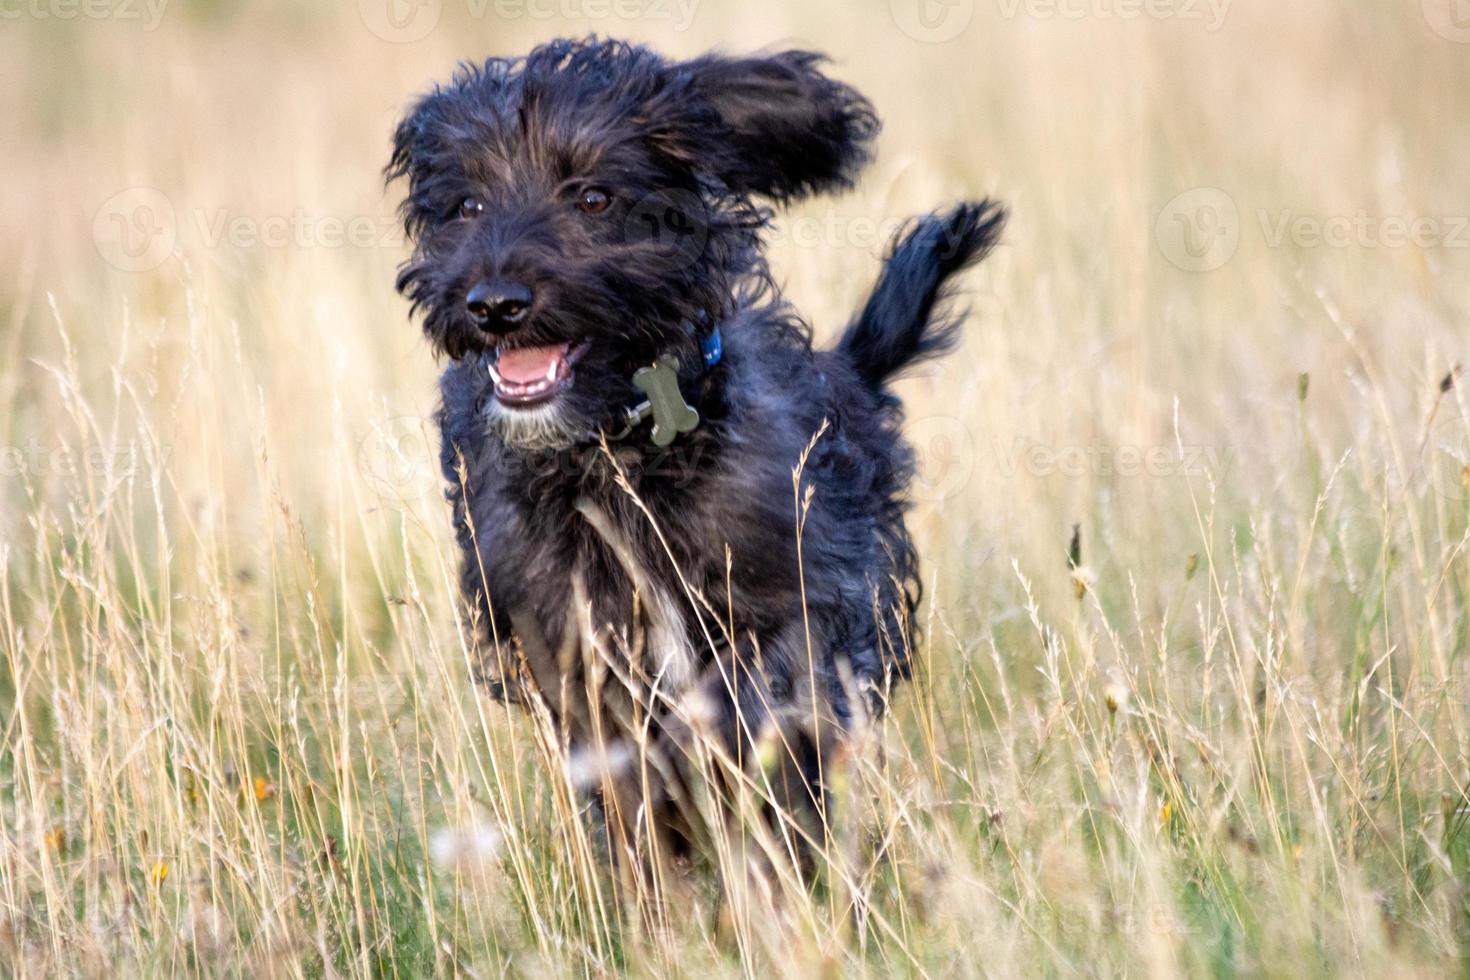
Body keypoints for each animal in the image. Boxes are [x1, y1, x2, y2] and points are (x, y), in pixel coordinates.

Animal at [391, 36, 1005, 881]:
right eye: (467, 206)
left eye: (593, 198)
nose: (493, 304)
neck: (619, 454)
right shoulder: (569, 647)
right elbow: (629, 780)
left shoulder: (804, 595)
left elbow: (764, 698)